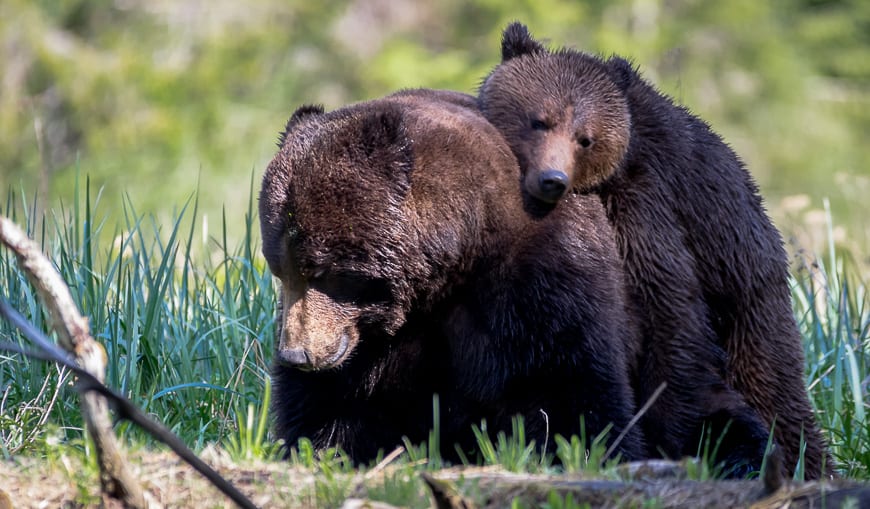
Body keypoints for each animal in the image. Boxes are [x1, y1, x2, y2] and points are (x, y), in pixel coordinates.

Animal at [258, 89, 648, 462]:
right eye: (281, 270)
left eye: (321, 269)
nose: (296, 355)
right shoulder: (372, 344)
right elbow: (331, 403)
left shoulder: (541, 283)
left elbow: (564, 385)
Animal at [480, 21, 836, 478]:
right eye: (539, 120)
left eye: (585, 139)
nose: (552, 180)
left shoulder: (648, 210)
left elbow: (671, 315)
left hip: (746, 287)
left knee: (771, 379)